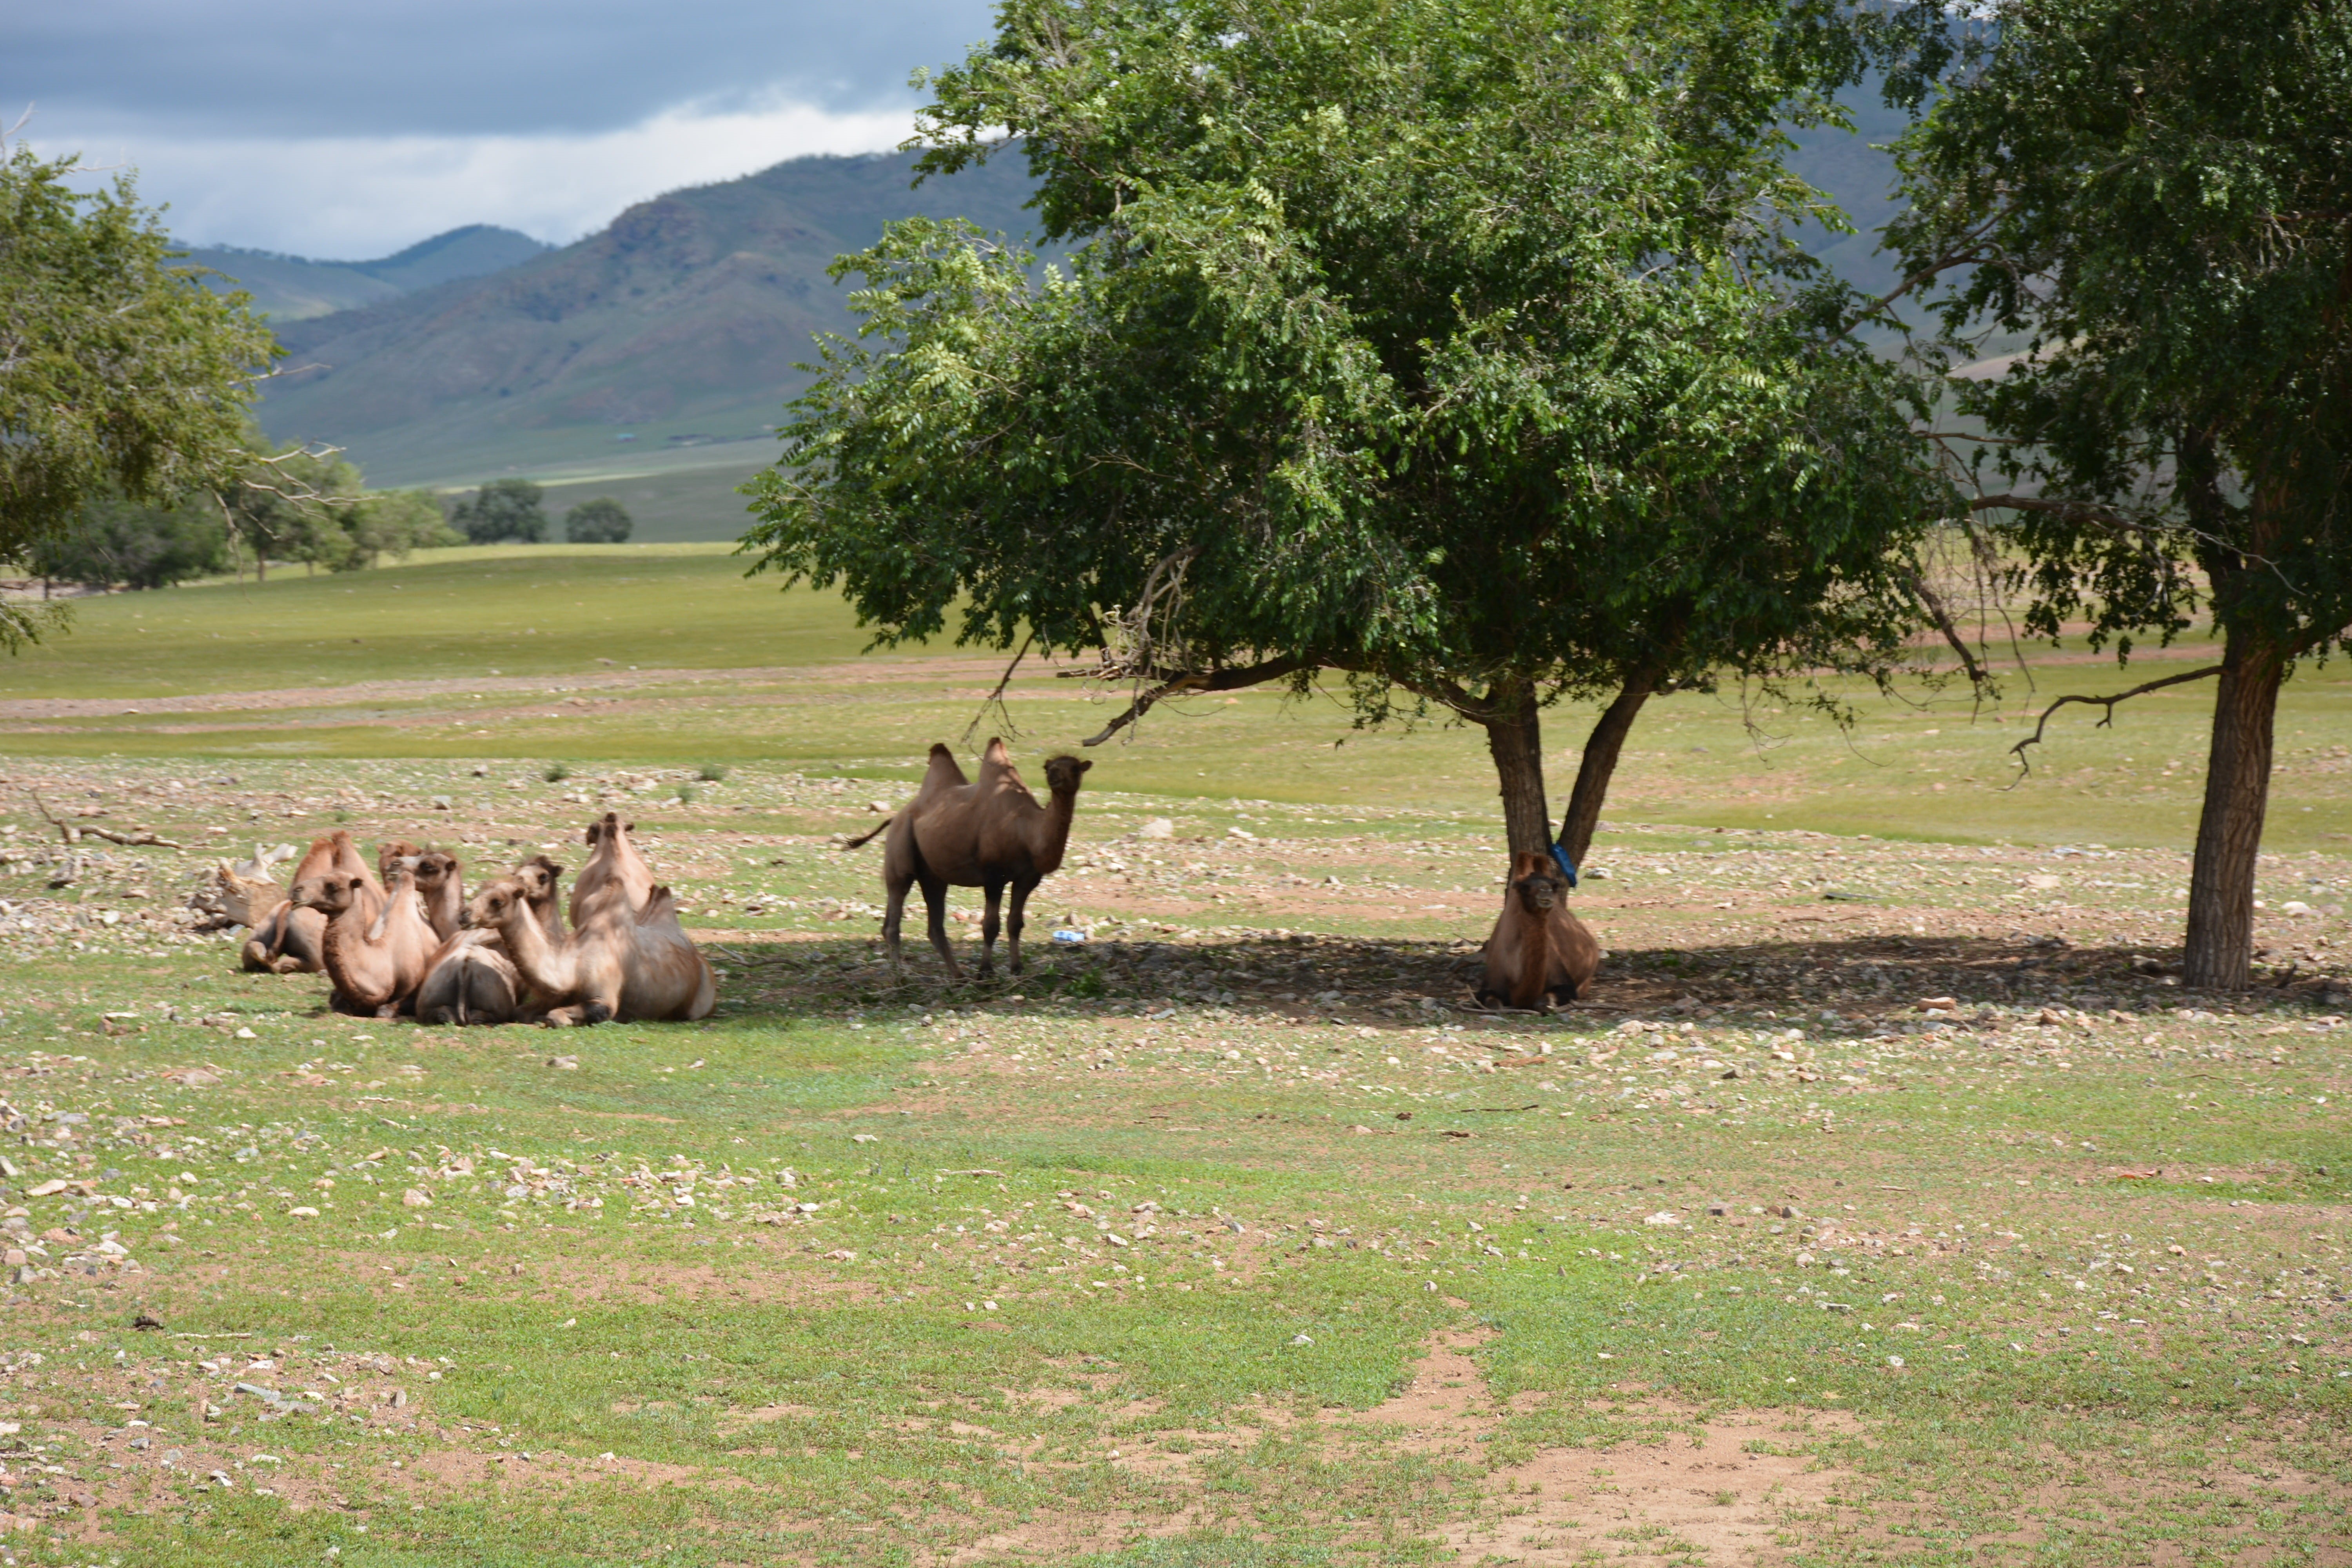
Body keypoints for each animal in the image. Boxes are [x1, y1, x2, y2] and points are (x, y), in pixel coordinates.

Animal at [465, 874, 716, 1026]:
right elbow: (520, 1012)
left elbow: (557, 1016)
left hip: (699, 1003)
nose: (464, 915)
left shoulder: (604, 999)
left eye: (498, 901)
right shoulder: (555, 995)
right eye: (478, 892)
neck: (572, 964)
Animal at [851, 738, 1090, 980]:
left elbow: (1015, 923)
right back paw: (901, 973)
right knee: (896, 907)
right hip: (899, 849)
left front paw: (1016, 969)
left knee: (931, 924)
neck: (1025, 830)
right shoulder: (994, 876)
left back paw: (957, 975)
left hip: (932, 874)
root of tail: (894, 818)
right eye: (1047, 767)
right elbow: (991, 925)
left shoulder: (1028, 878)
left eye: (1075, 768)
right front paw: (985, 971)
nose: (1054, 775)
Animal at [1477, 850, 1601, 1011]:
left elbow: (1543, 1001)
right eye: (1525, 887)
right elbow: (1494, 1004)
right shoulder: (1490, 982)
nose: (1546, 891)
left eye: (1555, 885)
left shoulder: (1564, 982)